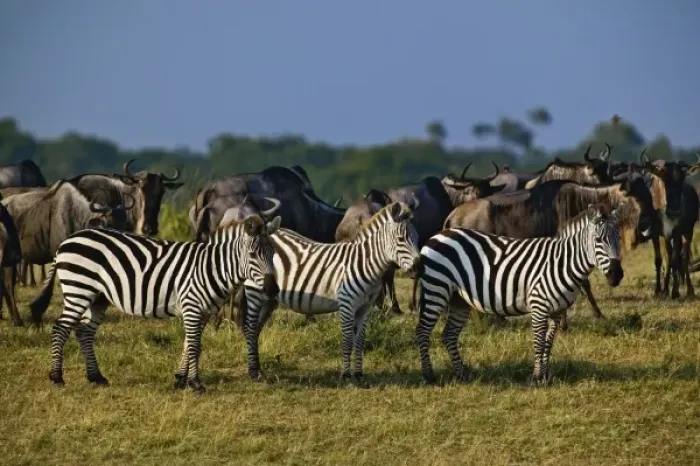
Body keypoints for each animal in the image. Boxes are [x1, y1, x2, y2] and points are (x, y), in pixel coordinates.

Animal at [29, 214, 282, 394]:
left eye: (273, 254)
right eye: (253, 255)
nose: (273, 290)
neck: (213, 268)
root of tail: (66, 241)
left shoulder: (203, 312)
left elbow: (188, 344)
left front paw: (180, 380)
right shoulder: (191, 305)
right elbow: (195, 346)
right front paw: (196, 384)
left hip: (98, 297)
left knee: (84, 332)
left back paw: (96, 377)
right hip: (78, 289)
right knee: (60, 329)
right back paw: (57, 377)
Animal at [238, 201, 422, 383]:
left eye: (418, 238)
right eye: (401, 239)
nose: (419, 268)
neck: (363, 263)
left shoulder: (365, 308)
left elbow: (360, 341)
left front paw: (359, 375)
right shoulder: (347, 303)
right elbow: (347, 340)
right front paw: (346, 376)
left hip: (269, 299)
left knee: (255, 329)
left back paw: (258, 370)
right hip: (255, 293)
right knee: (251, 328)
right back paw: (253, 372)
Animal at [415, 203, 625, 386]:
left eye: (619, 239)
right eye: (598, 240)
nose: (617, 276)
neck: (562, 262)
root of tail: (440, 233)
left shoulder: (556, 311)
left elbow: (548, 344)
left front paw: (545, 377)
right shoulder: (539, 306)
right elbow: (539, 342)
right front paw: (536, 378)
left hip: (458, 299)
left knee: (449, 335)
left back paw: (462, 375)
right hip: (436, 288)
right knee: (422, 331)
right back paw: (429, 376)